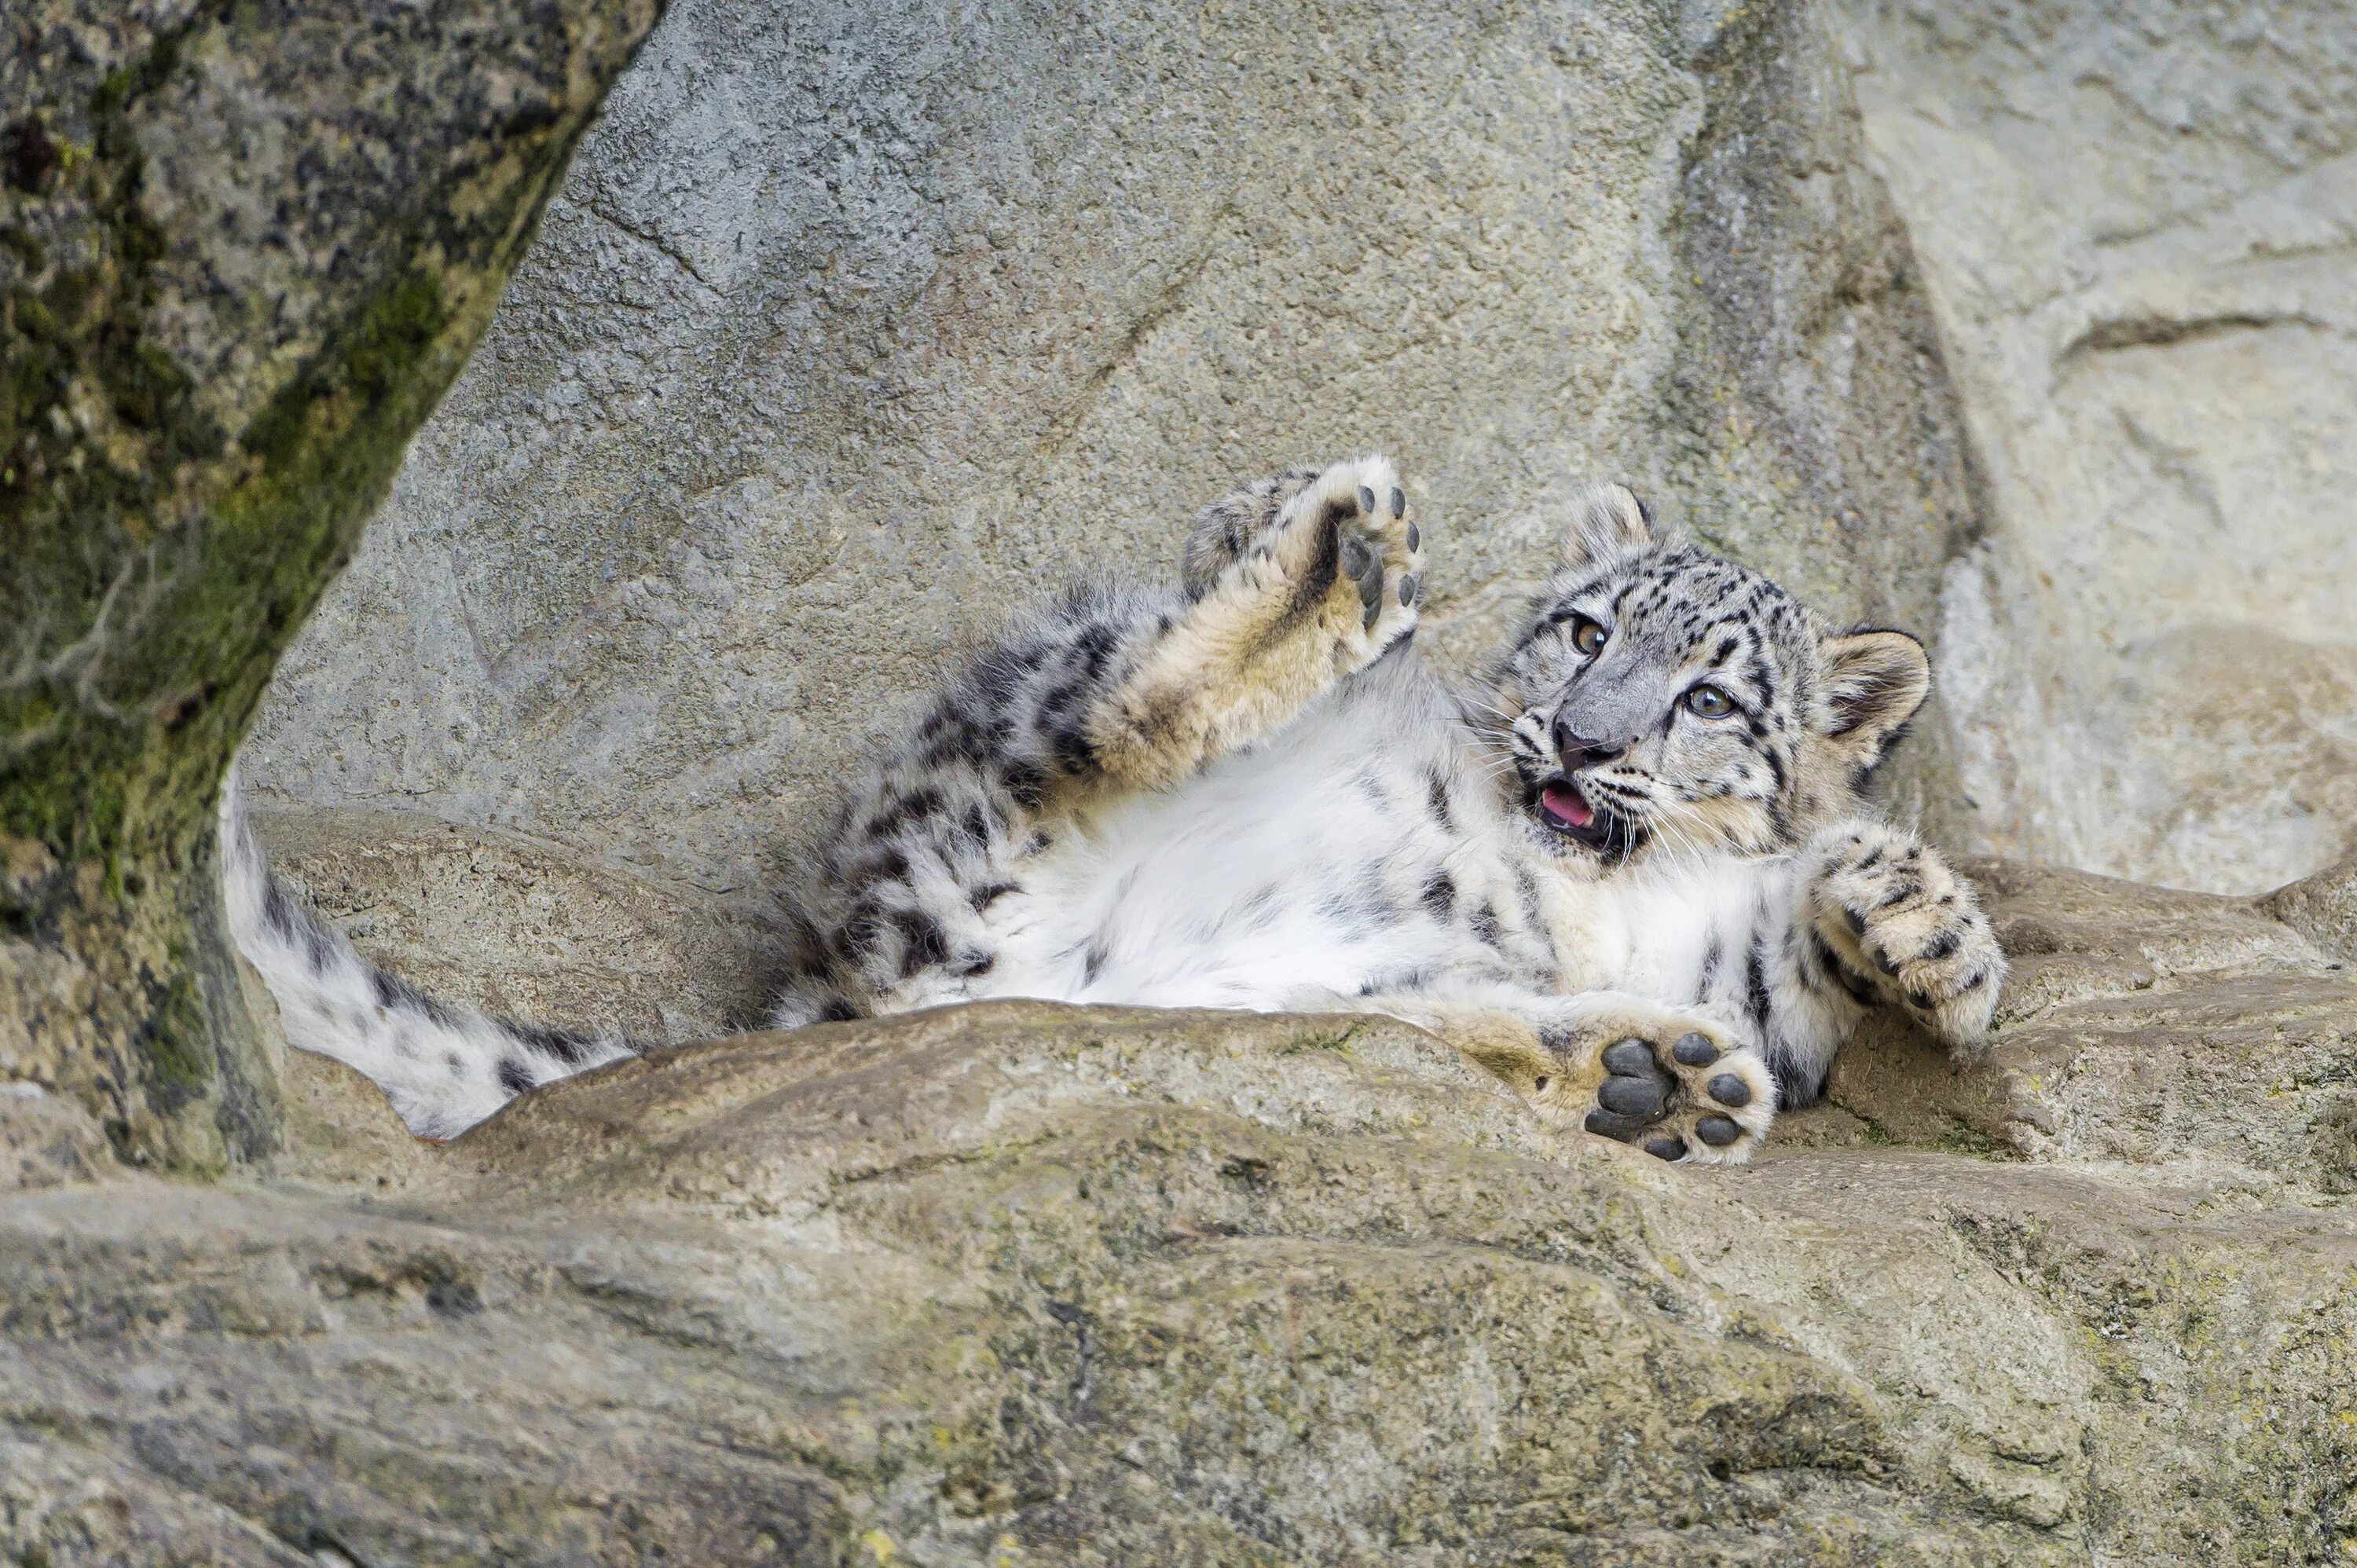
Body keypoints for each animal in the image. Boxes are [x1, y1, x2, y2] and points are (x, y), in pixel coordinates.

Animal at [229, 455, 2008, 1160]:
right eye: (1586, 631)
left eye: (1709, 697)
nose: (1575, 739)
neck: (1585, 888)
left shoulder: (1725, 966)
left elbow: (1802, 948)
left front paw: (1926, 926)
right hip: (1010, 732)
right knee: (1117, 707)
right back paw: (1336, 566)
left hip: (1279, 1004)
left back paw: (1647, 1079)